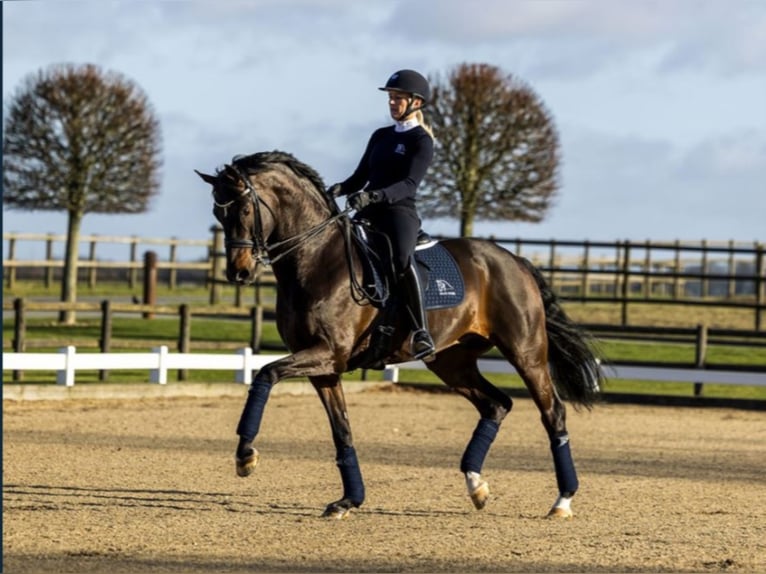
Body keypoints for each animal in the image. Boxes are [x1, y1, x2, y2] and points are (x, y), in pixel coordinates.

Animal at [198, 152, 608, 520]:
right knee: (496, 405)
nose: (238, 272)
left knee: (552, 413)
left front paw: (245, 456)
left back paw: (562, 501)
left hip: (525, 351)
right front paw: (348, 501)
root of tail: (514, 260)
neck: (317, 260)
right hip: (451, 361)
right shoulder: (324, 366)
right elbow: (341, 430)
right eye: (218, 213)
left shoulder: (327, 353)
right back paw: (476, 486)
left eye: (244, 210)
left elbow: (265, 374)